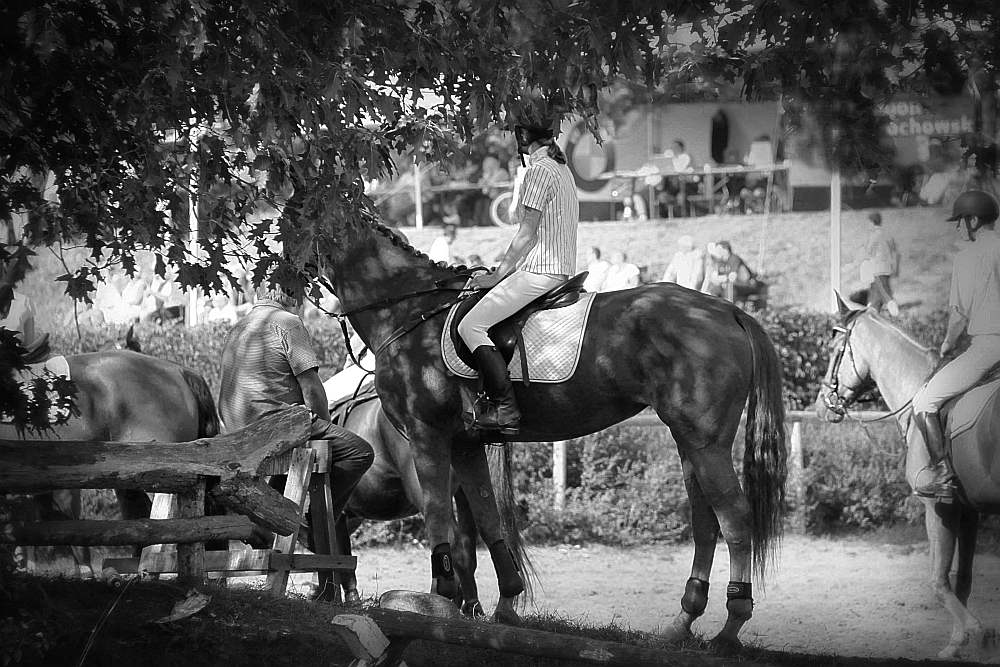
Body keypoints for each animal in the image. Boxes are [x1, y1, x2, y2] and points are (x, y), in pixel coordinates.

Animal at [314, 208, 787, 650]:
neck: (410, 310)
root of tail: (727, 308)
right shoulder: (466, 443)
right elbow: (487, 519)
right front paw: (506, 604)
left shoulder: (426, 435)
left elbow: (438, 520)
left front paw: (438, 603)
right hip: (687, 441)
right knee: (705, 521)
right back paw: (682, 622)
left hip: (706, 442)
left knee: (735, 517)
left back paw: (730, 626)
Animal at [816, 294, 1000, 661]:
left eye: (834, 349)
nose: (822, 404)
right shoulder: (968, 510)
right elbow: (963, 579)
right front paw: (956, 643)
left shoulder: (939, 507)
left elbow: (938, 581)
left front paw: (976, 634)